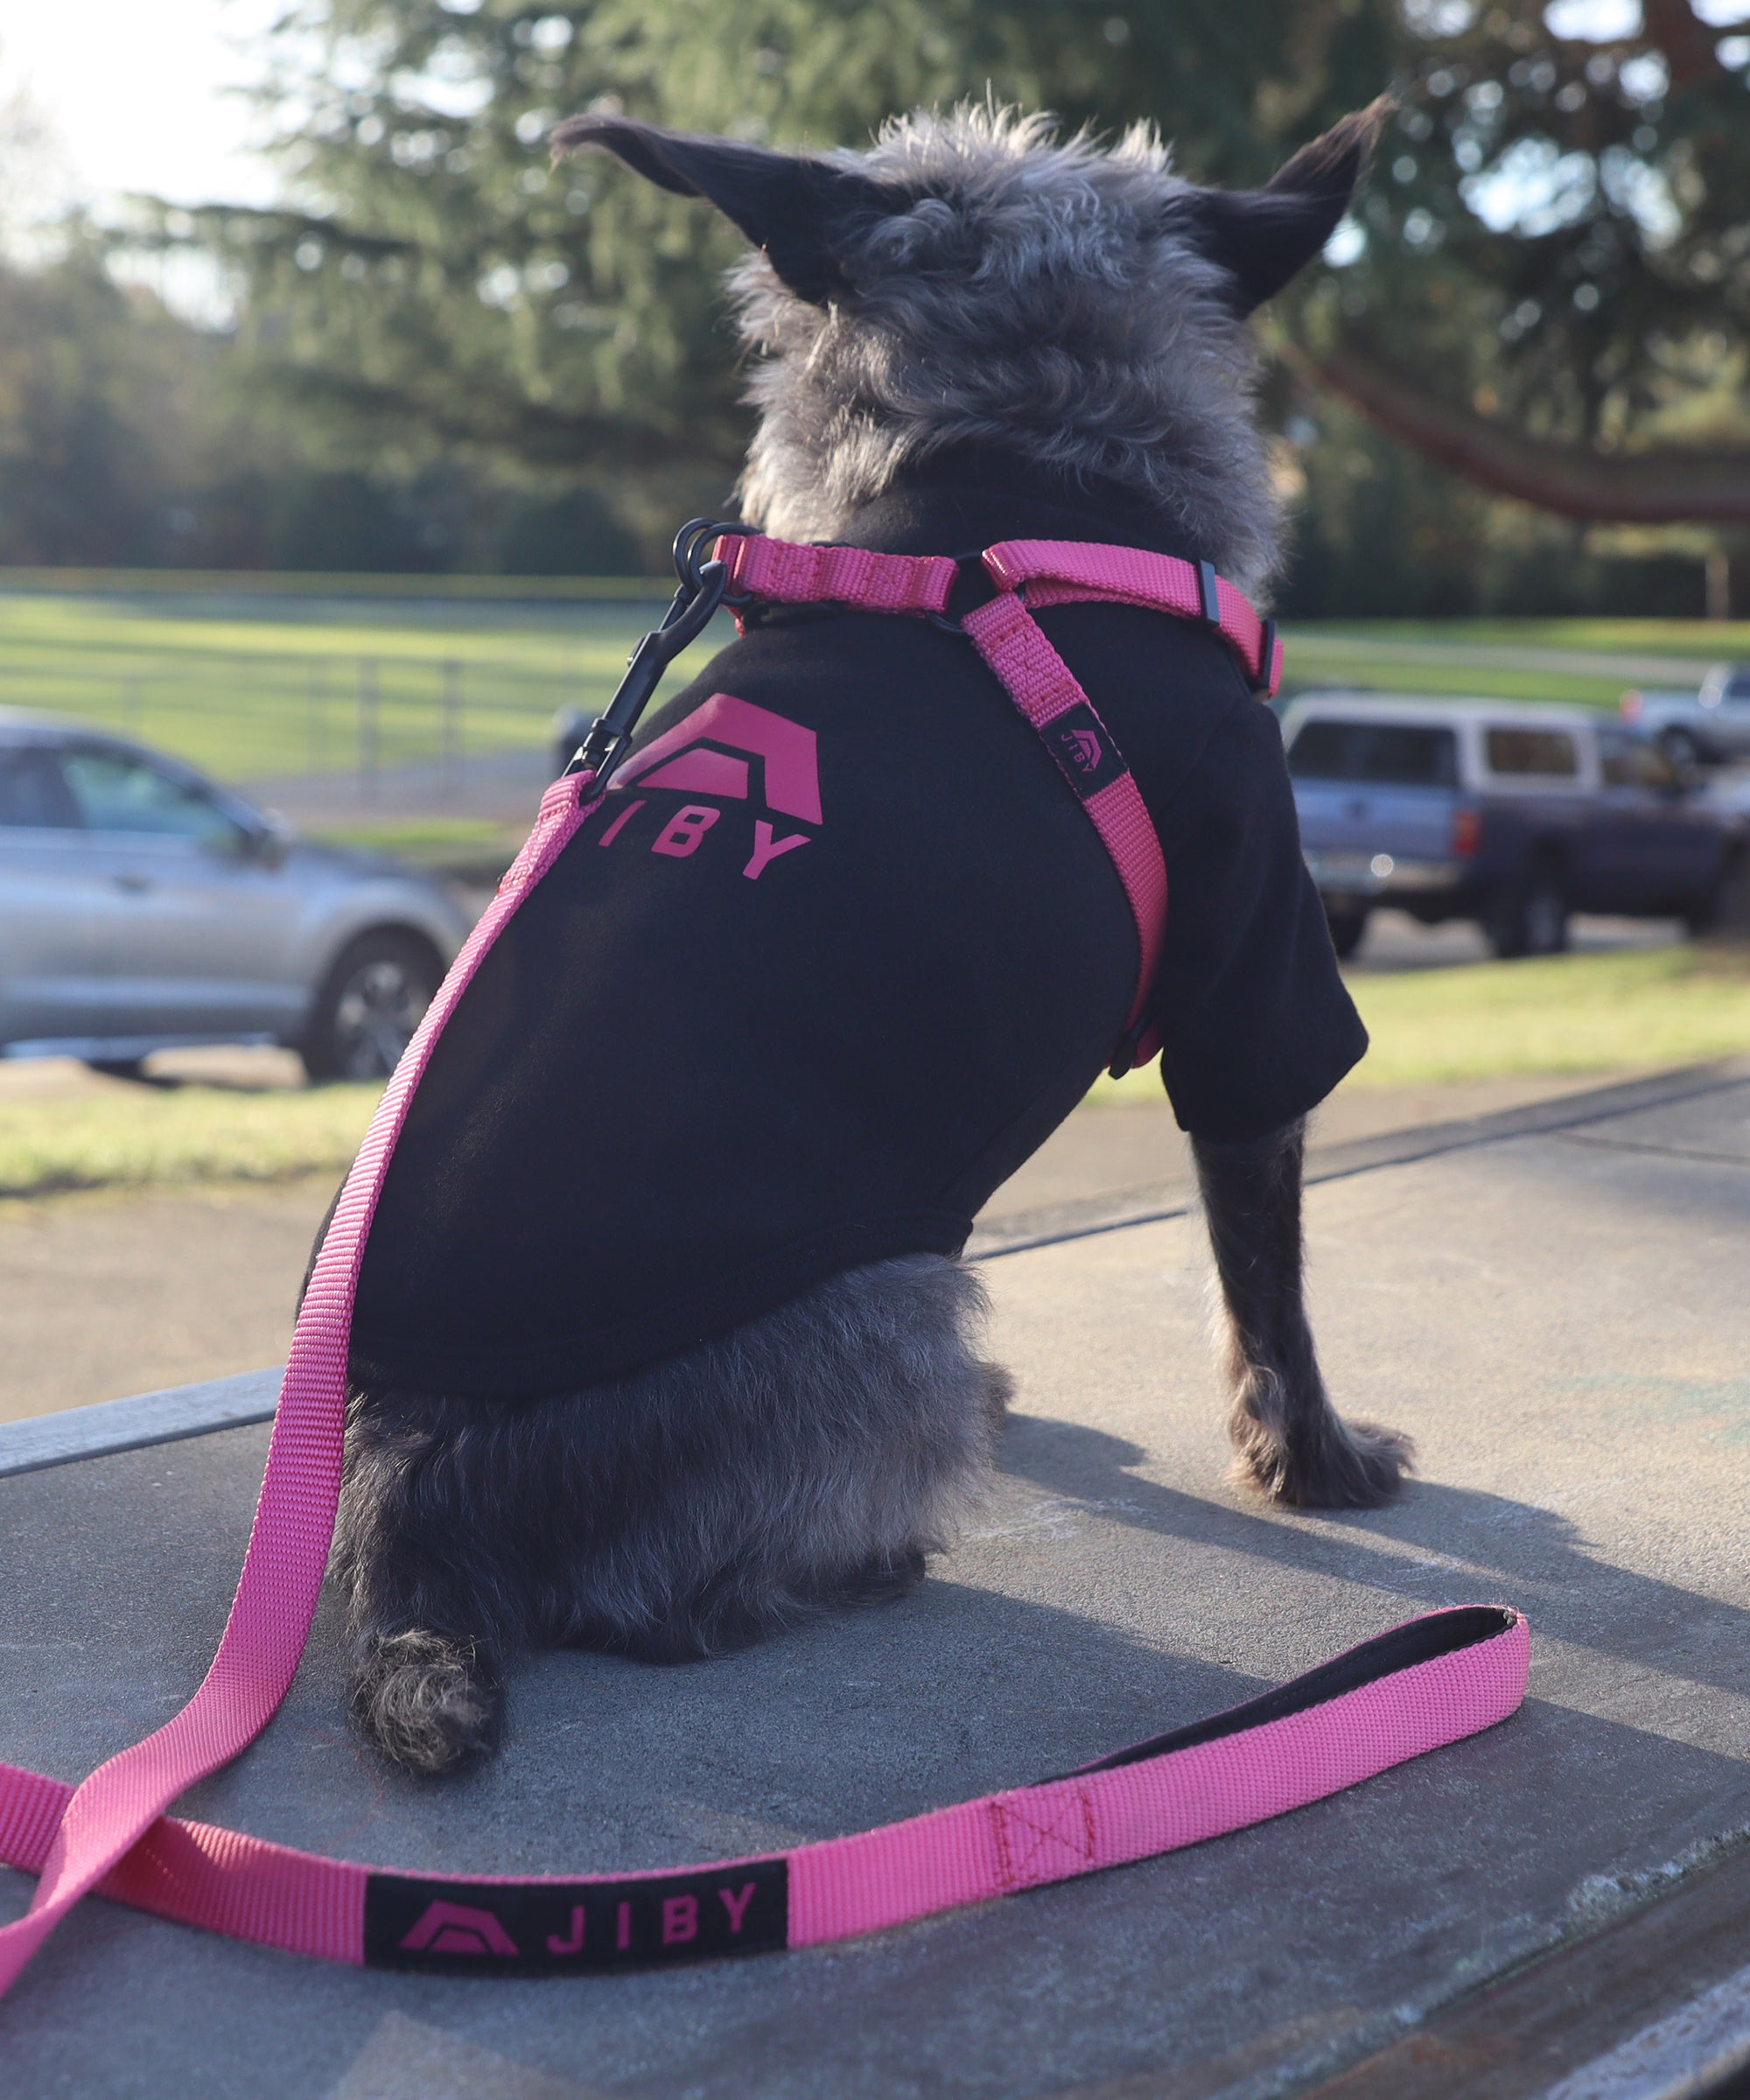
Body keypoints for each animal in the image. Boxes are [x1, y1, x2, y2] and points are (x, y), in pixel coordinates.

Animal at [333, 94, 1411, 1772]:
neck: (1017, 472)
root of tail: (403, 1497)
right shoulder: (1252, 962)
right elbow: (1267, 1273)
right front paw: (1318, 1461)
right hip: (901, 1299)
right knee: (667, 1604)